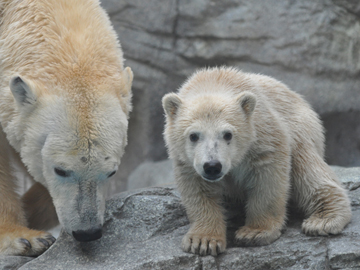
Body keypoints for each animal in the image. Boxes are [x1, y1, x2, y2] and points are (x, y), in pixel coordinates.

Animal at [163, 67, 352, 255]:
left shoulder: (263, 131)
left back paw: (323, 220)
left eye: (228, 134)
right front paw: (203, 240)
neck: (212, 81)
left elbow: (268, 178)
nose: (212, 166)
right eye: (193, 136)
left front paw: (254, 232)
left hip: (301, 130)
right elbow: (198, 190)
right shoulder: (186, 160)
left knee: (308, 171)